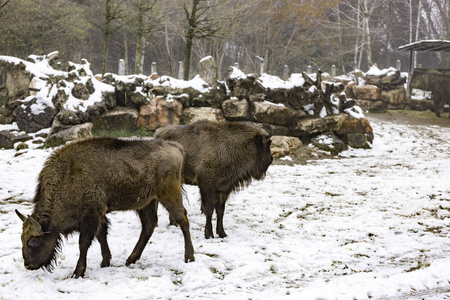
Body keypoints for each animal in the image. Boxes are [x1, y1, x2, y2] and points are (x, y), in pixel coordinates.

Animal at [15, 137, 195, 278]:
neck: (66, 177)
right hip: (147, 202)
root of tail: (174, 147)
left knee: (182, 218)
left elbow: (84, 243)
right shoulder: (98, 215)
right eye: (22, 239)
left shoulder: (91, 216)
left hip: (169, 195)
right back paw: (130, 259)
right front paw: (105, 261)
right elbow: (102, 235)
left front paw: (78, 272)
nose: (28, 265)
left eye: (34, 241)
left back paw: (189, 257)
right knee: (149, 225)